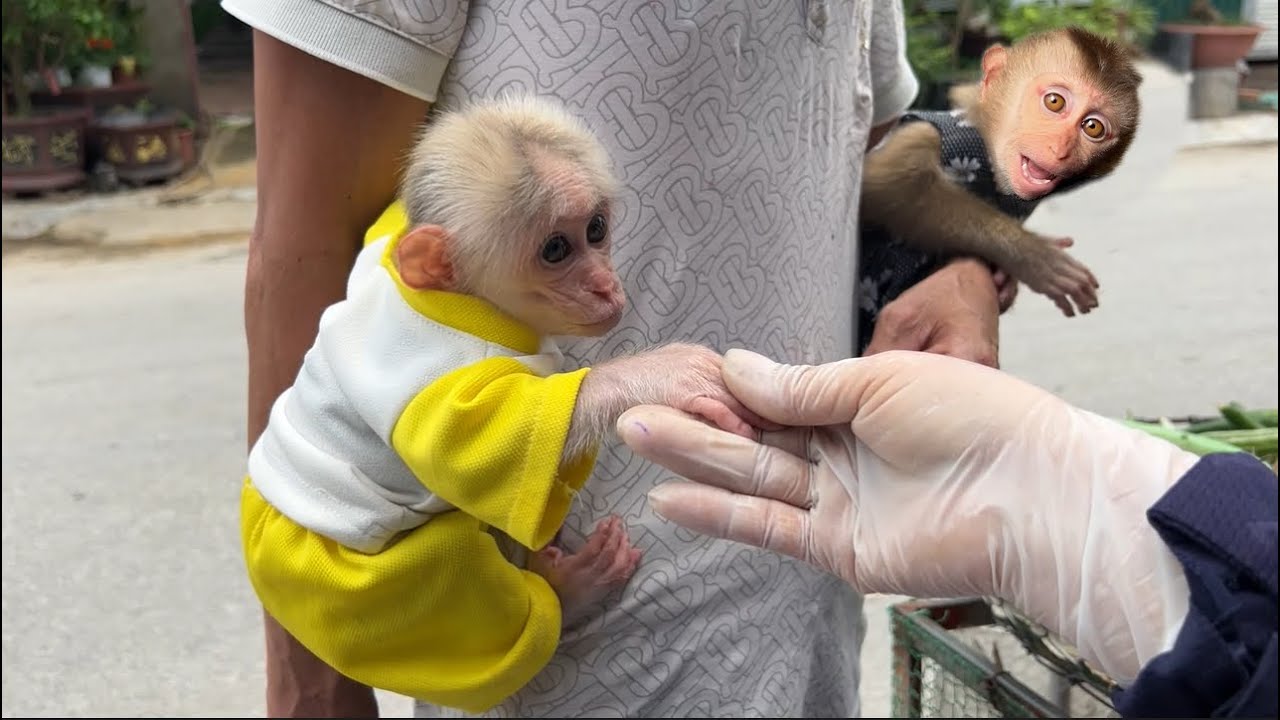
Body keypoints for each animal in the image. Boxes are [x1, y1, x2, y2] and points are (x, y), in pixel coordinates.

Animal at [856, 26, 1143, 355]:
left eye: (1093, 127)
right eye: (1054, 102)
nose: (1061, 148)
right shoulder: (930, 135)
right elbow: (886, 186)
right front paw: (1035, 256)